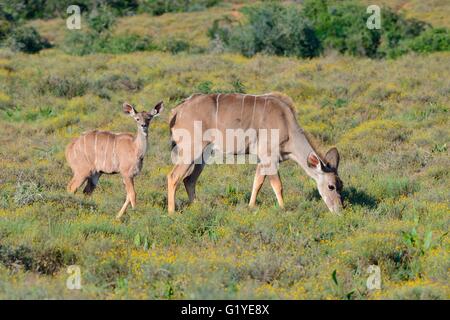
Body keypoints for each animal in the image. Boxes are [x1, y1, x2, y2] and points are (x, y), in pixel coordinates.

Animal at [167, 93, 342, 215]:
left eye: (341, 185)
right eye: (331, 186)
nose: (339, 210)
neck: (286, 123)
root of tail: (177, 111)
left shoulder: (262, 159)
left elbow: (257, 182)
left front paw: (251, 207)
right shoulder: (270, 158)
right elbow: (278, 185)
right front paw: (283, 209)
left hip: (203, 156)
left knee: (189, 179)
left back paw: (197, 207)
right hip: (191, 150)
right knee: (173, 176)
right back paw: (172, 212)